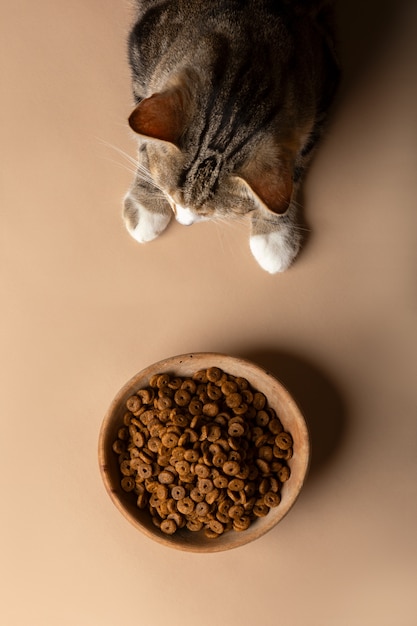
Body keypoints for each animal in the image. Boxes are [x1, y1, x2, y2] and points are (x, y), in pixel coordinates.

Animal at [123, 0, 338, 272]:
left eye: (209, 213)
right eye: (170, 192)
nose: (185, 222)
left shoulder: (322, 88)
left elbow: (295, 168)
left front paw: (274, 234)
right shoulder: (142, 51)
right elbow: (145, 144)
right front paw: (147, 202)